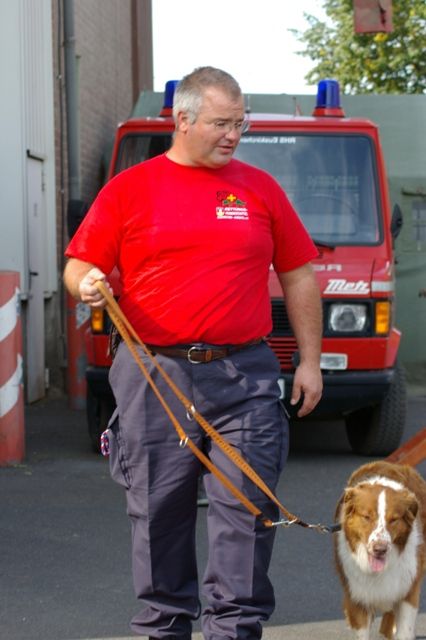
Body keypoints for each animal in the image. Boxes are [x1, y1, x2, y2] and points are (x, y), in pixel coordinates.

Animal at [334, 460, 426, 640]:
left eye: (394, 519)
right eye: (366, 517)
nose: (380, 549)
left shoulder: (408, 591)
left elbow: (404, 631)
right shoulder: (357, 597)